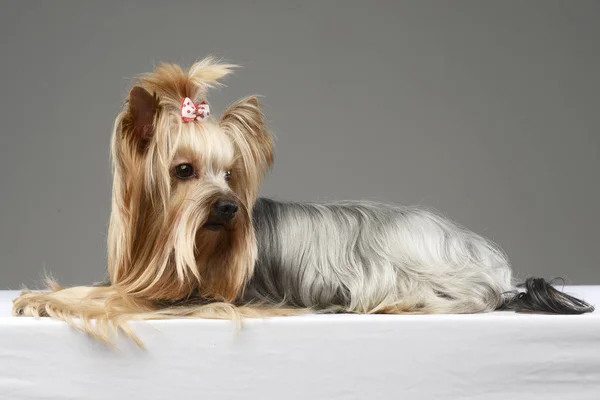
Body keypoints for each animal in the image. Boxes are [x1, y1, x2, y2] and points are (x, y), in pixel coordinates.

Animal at [12, 57, 592, 346]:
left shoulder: (196, 297)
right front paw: (39, 296)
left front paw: (55, 301)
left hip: (430, 278)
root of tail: (487, 256)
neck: (172, 244)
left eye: (230, 174)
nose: (230, 208)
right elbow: (102, 289)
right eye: (183, 171)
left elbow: (114, 302)